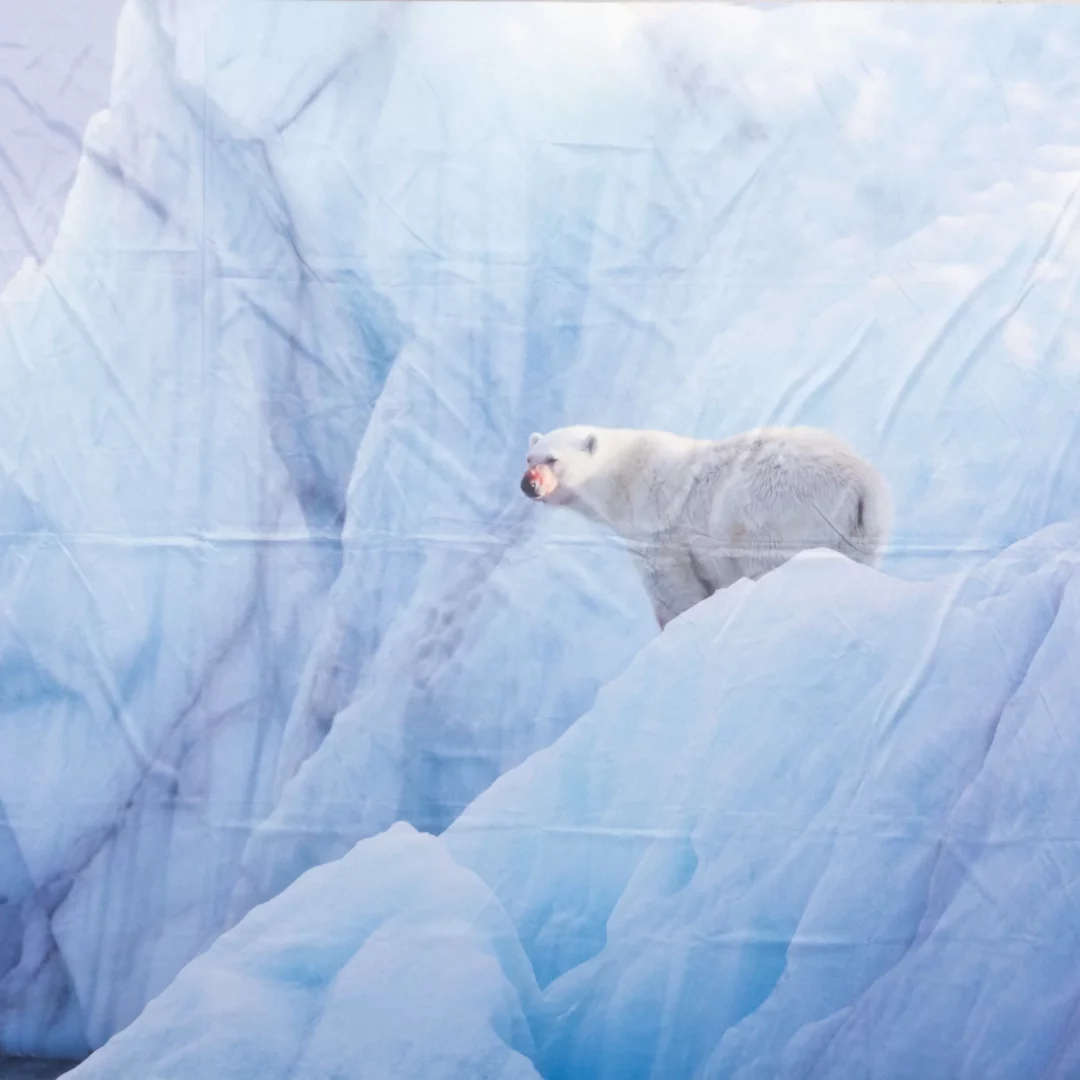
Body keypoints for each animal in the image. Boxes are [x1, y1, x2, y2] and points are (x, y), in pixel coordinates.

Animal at [518, 419, 889, 626]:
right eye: (529, 458)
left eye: (553, 459)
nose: (528, 484)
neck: (624, 478)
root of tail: (861, 484)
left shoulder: (658, 531)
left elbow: (673, 590)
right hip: (863, 530)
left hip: (778, 511)